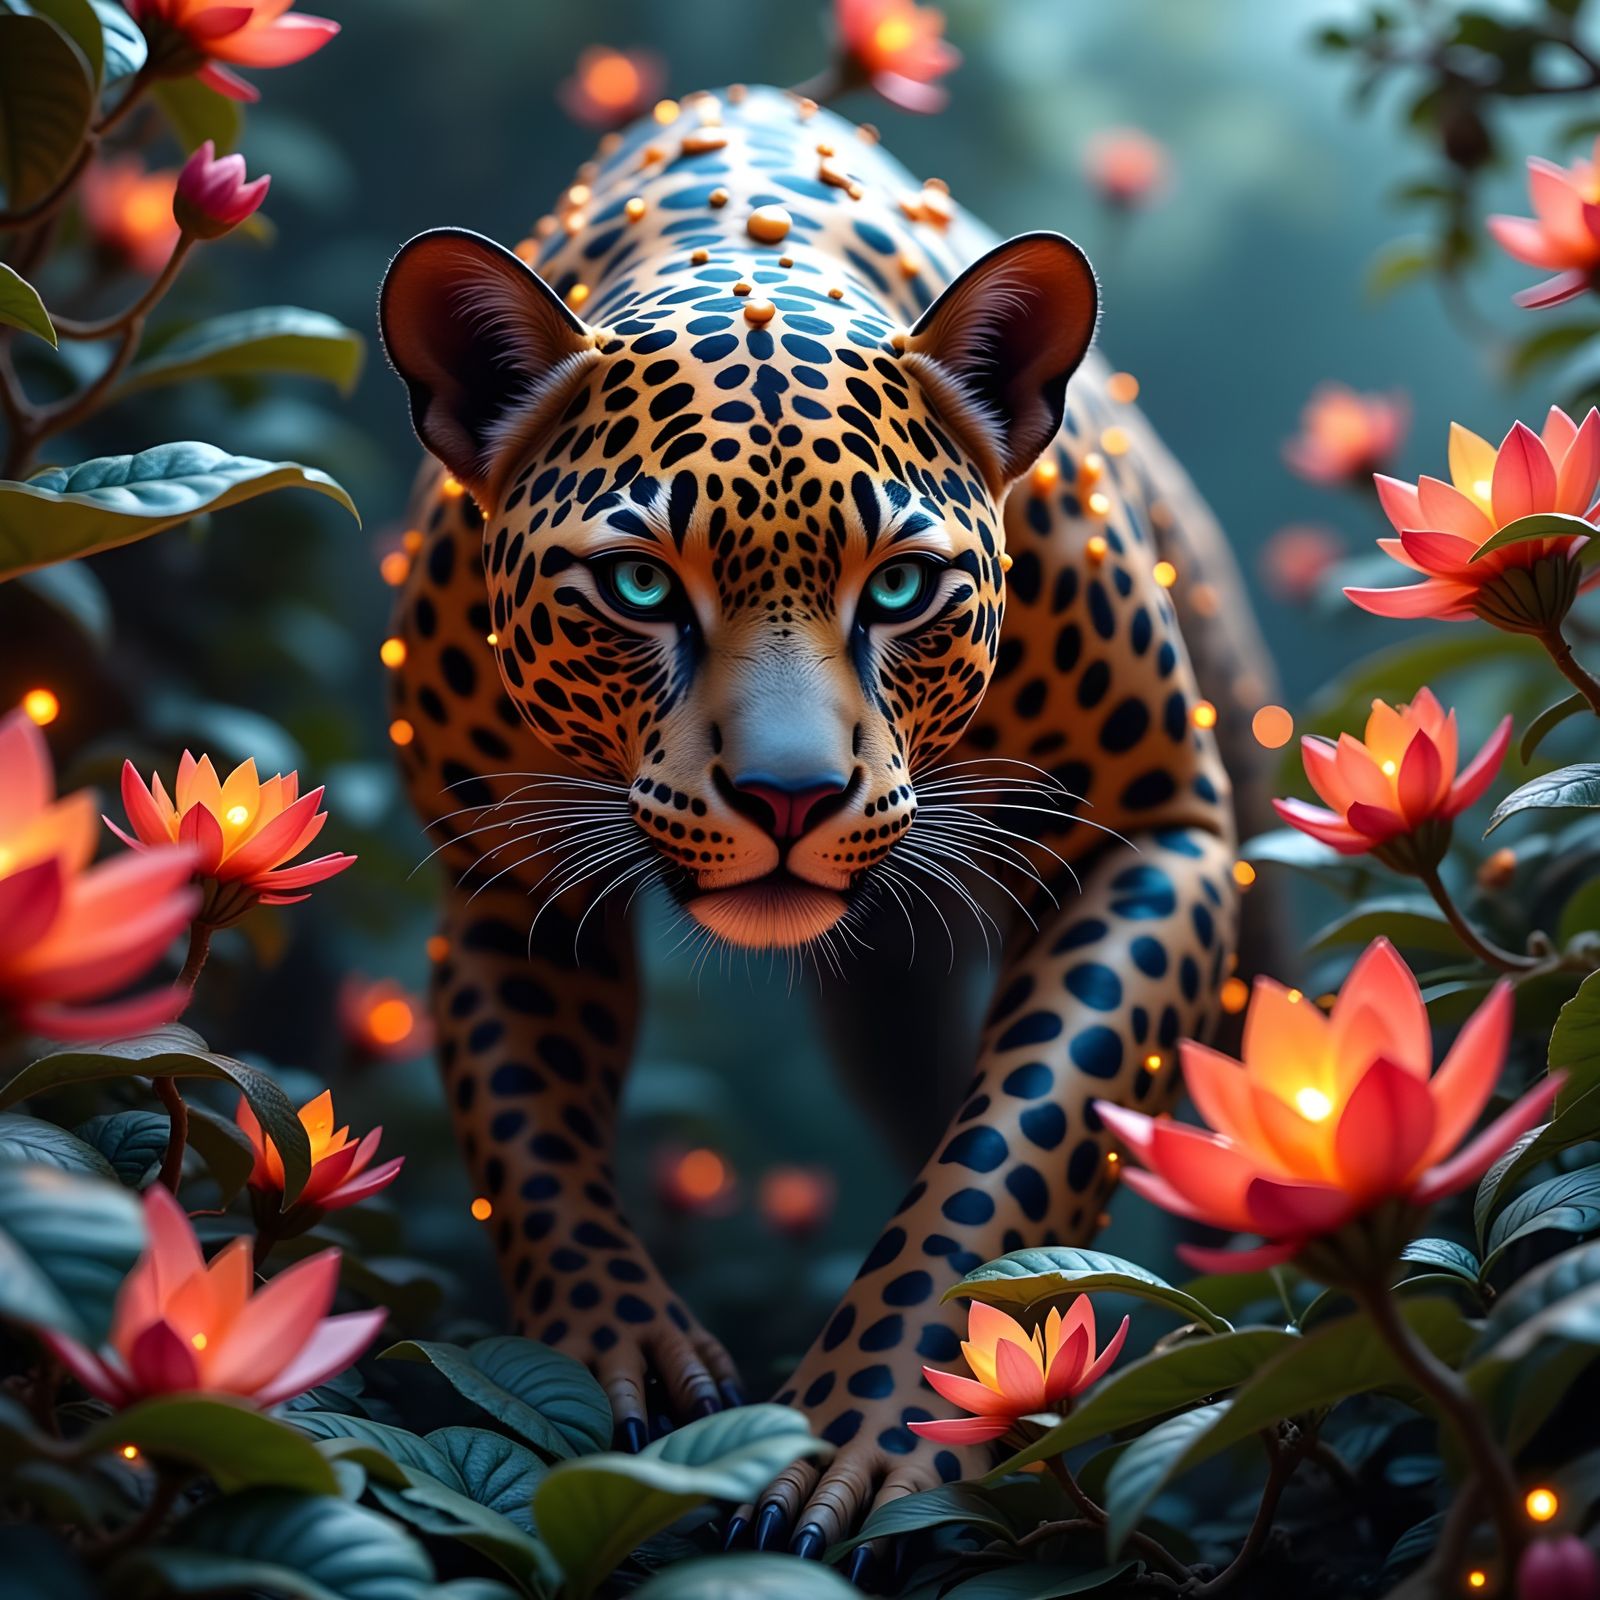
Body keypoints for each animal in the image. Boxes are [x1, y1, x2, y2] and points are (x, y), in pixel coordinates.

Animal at [377, 82, 1278, 1577]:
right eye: (637, 586)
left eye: (902, 588)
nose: (790, 794)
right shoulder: (505, 889)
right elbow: (532, 1148)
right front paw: (623, 1377)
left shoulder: (1152, 839)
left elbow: (1002, 1168)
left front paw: (869, 1430)